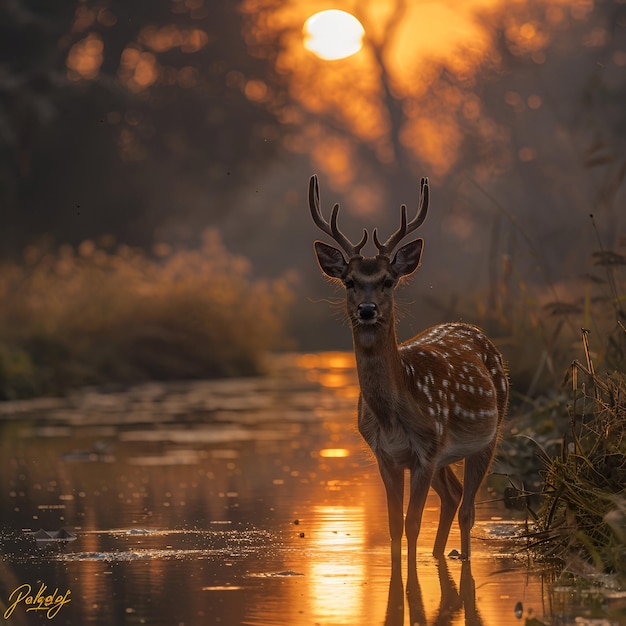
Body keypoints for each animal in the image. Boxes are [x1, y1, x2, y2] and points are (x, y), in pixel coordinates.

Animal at [308, 173, 508, 564]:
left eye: (388, 279)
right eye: (349, 280)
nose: (367, 309)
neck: (392, 415)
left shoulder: (425, 453)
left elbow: (412, 524)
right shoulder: (386, 457)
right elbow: (394, 526)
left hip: (489, 435)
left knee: (468, 510)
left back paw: (462, 557)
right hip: (448, 455)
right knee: (454, 495)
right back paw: (441, 555)